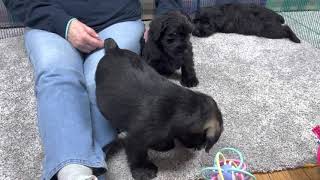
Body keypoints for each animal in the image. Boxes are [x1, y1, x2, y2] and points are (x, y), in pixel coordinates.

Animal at [96, 38, 224, 179]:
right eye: (203, 136)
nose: (200, 146)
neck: (178, 108)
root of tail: (114, 49)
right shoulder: (136, 139)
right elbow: (138, 155)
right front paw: (143, 170)